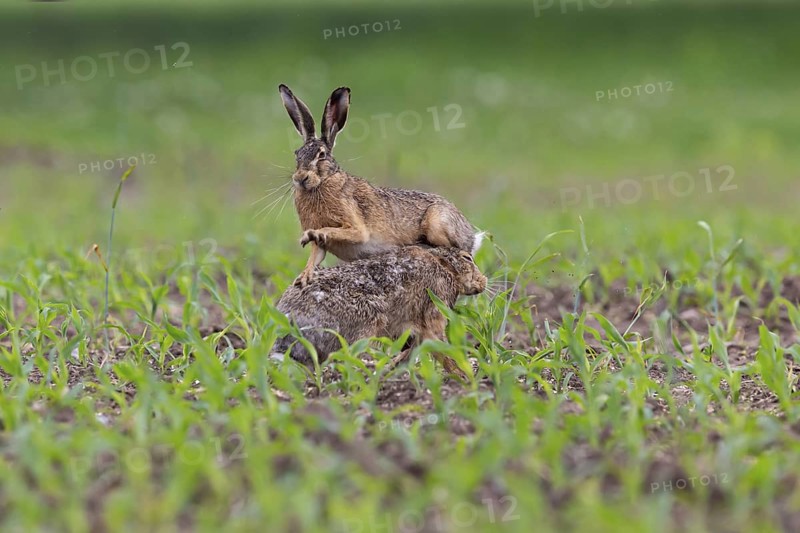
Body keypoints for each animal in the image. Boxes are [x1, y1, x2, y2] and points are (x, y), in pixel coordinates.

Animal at [271, 245, 487, 378]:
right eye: (467, 258)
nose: (483, 281)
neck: (445, 267)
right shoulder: (433, 314)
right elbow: (441, 347)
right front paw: (463, 374)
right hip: (364, 325)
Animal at [279, 84, 484, 287]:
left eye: (321, 155)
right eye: (297, 154)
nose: (300, 178)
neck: (324, 181)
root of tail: (471, 236)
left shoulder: (356, 228)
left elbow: (334, 231)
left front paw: (310, 235)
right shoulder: (322, 245)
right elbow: (315, 257)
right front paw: (303, 278)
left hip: (436, 224)